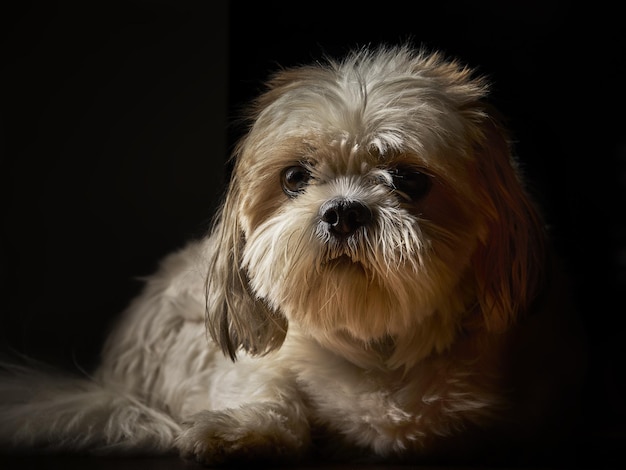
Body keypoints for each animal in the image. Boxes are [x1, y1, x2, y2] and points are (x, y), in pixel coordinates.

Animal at [0, 45, 584, 466]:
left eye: (409, 180)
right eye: (295, 177)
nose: (344, 212)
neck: (376, 346)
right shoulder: (241, 361)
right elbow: (272, 392)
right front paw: (240, 432)